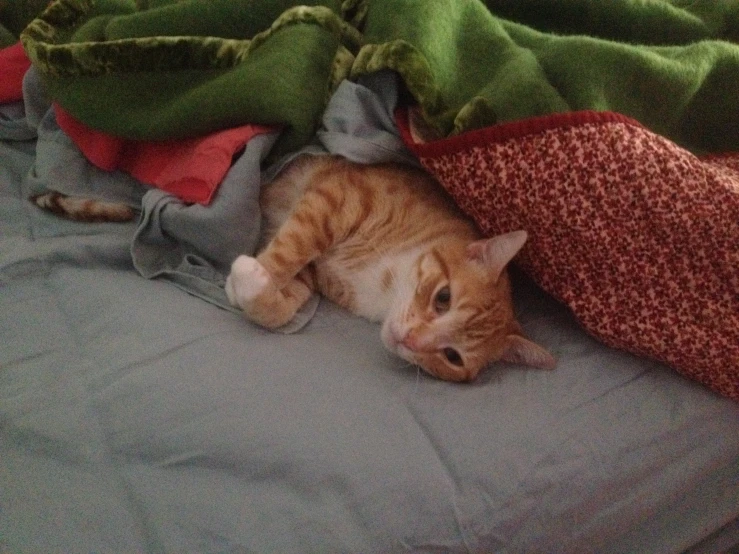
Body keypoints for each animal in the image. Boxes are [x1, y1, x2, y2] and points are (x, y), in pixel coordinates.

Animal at [227, 154, 556, 380]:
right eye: (443, 298)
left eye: (453, 357)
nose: (410, 340)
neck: (387, 284)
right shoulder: (336, 201)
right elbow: (291, 249)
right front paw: (242, 280)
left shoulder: (313, 273)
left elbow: (279, 308)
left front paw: (254, 287)